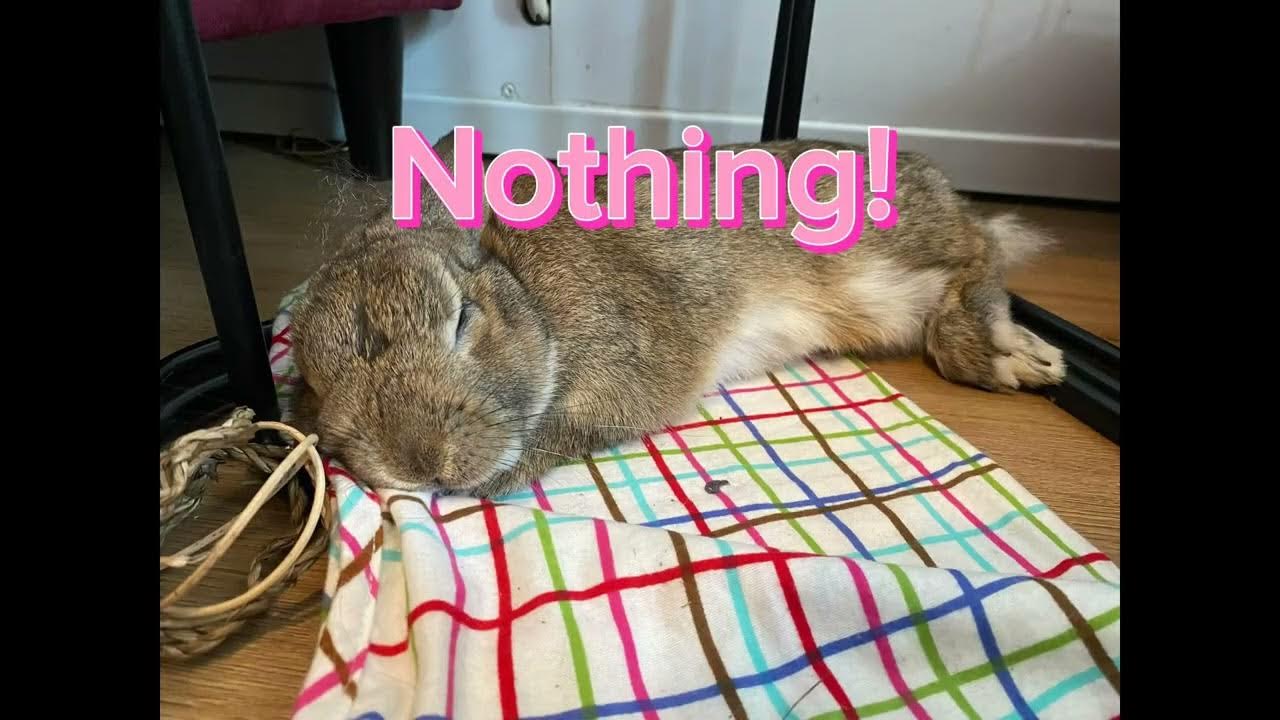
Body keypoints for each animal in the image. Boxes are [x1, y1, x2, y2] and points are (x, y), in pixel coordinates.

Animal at [288, 131, 1065, 497]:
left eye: (461, 318)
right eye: (316, 385)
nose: (418, 463)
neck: (530, 291)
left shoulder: (632, 364)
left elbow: (569, 430)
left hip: (888, 265)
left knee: (983, 248)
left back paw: (1011, 354)